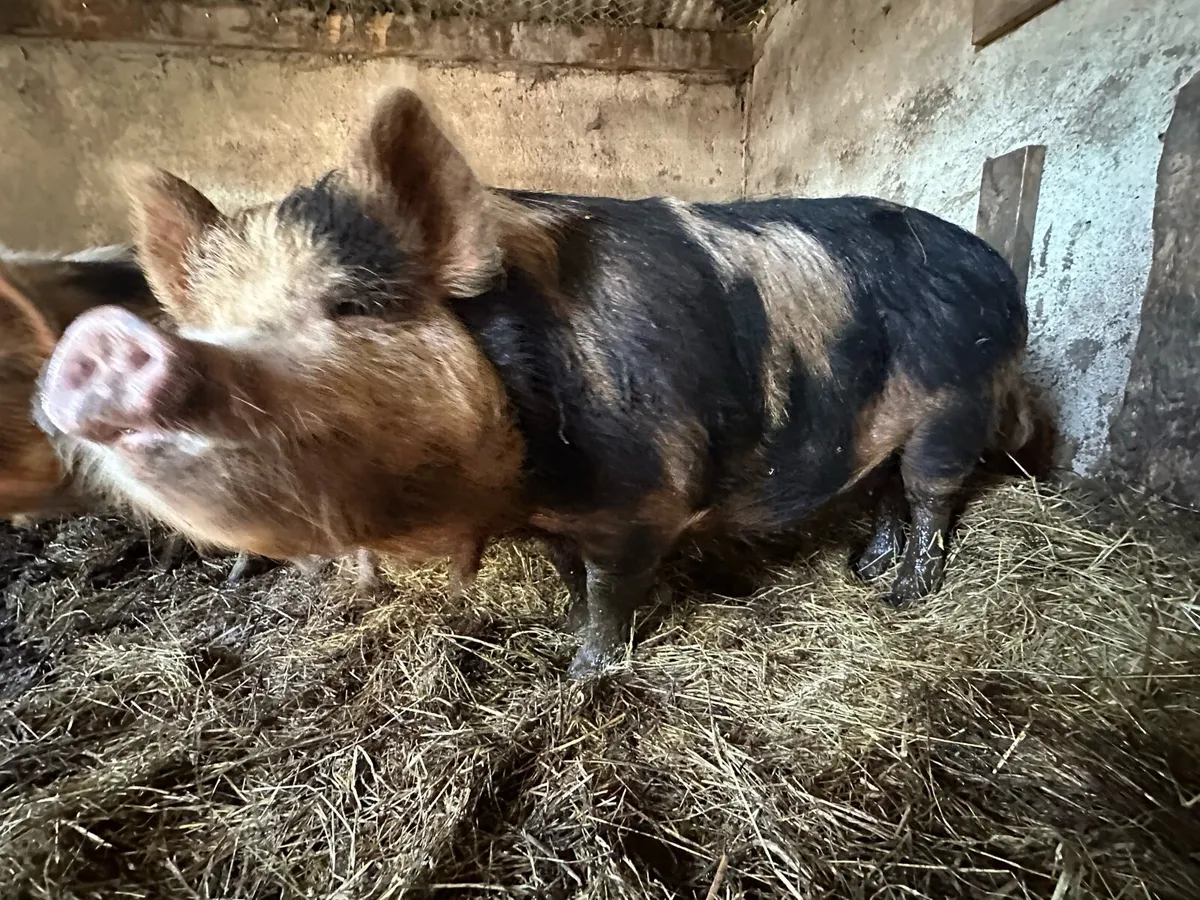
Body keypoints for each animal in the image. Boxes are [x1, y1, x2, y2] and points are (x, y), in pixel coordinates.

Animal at [35, 88, 1036, 677]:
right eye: (198, 321)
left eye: (348, 305)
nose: (100, 339)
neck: (523, 483)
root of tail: (998, 268)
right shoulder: (566, 517)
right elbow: (568, 578)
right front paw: (559, 635)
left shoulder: (644, 497)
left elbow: (611, 592)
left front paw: (582, 674)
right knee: (885, 491)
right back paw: (868, 573)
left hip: (957, 403)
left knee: (932, 496)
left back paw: (906, 596)